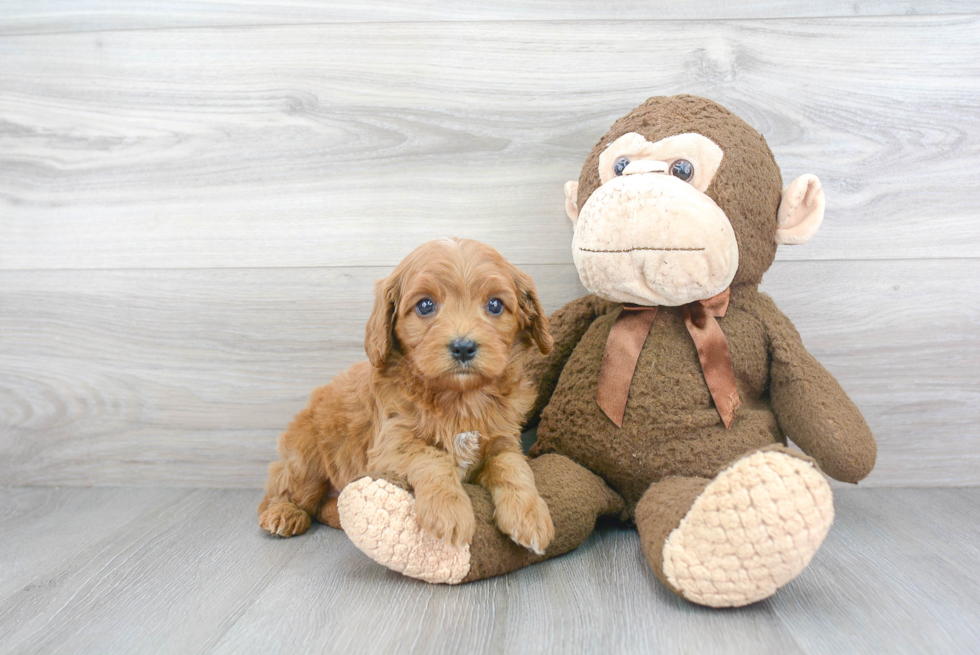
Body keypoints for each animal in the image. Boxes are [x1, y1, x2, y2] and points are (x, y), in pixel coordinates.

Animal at [256, 238, 556, 556]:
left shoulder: (503, 443)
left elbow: (513, 467)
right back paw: (283, 513)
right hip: (306, 458)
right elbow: (433, 457)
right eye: (425, 305)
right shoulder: (390, 444)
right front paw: (448, 512)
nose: (463, 347)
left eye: (495, 305)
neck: (459, 398)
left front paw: (530, 515)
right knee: (286, 491)